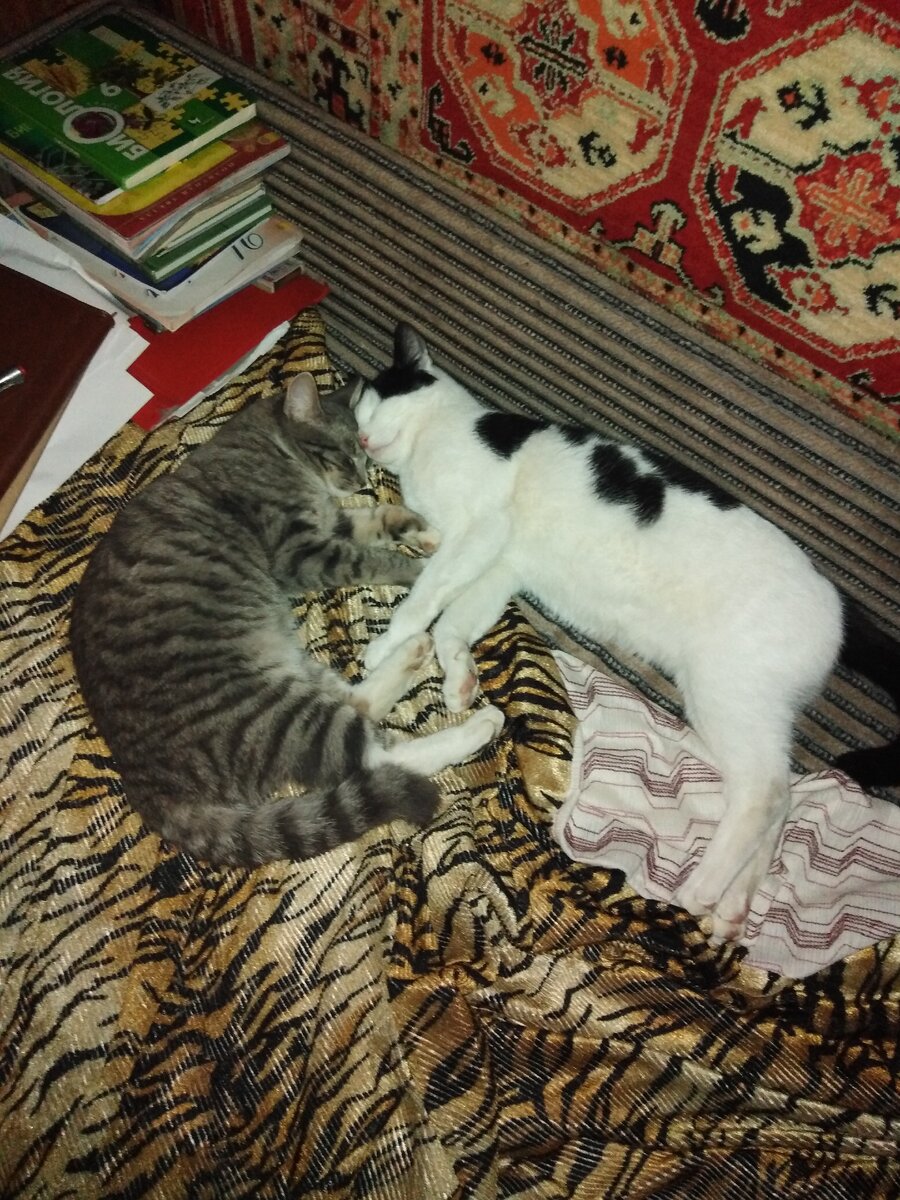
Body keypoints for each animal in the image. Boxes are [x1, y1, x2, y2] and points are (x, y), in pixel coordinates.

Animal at [69, 372, 504, 868]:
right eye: (343, 453)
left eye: (362, 452)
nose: (360, 478)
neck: (267, 445)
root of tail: (145, 785)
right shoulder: (304, 551)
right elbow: (376, 558)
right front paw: (423, 567)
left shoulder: (331, 524)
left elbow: (379, 516)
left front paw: (425, 532)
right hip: (269, 715)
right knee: (374, 756)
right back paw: (479, 725)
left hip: (289, 671)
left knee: (359, 703)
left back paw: (414, 650)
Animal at [351, 322, 900, 942]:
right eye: (357, 420)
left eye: (376, 403)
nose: (363, 439)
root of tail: (840, 604)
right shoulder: (503, 563)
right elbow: (454, 622)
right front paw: (459, 679)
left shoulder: (482, 529)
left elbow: (427, 597)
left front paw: (387, 647)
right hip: (747, 712)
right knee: (782, 797)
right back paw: (733, 904)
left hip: (724, 694)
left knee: (767, 793)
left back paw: (702, 888)